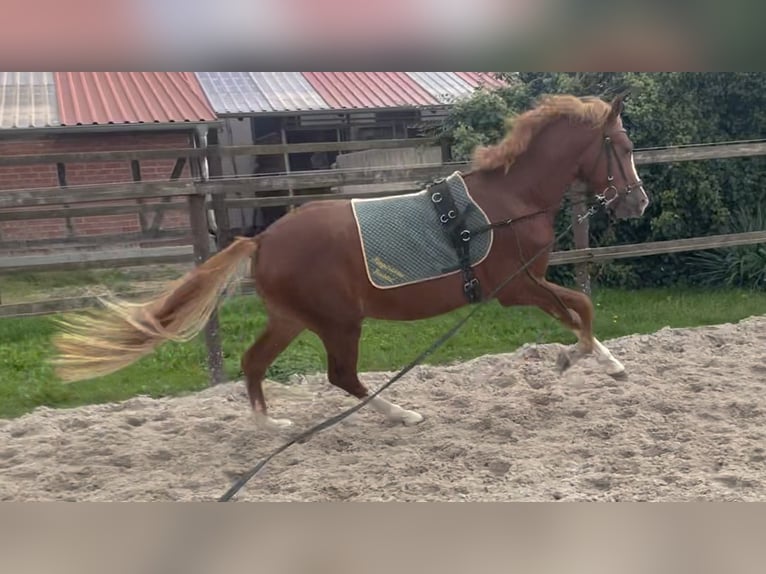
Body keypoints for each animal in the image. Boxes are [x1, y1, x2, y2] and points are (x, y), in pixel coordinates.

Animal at [54, 92, 652, 430]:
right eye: (622, 148)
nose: (638, 202)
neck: (508, 202)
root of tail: (263, 241)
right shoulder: (515, 286)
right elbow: (581, 309)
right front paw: (578, 361)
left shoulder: (530, 282)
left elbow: (576, 312)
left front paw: (603, 362)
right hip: (339, 321)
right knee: (340, 375)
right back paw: (402, 414)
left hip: (292, 319)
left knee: (254, 363)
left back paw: (270, 427)